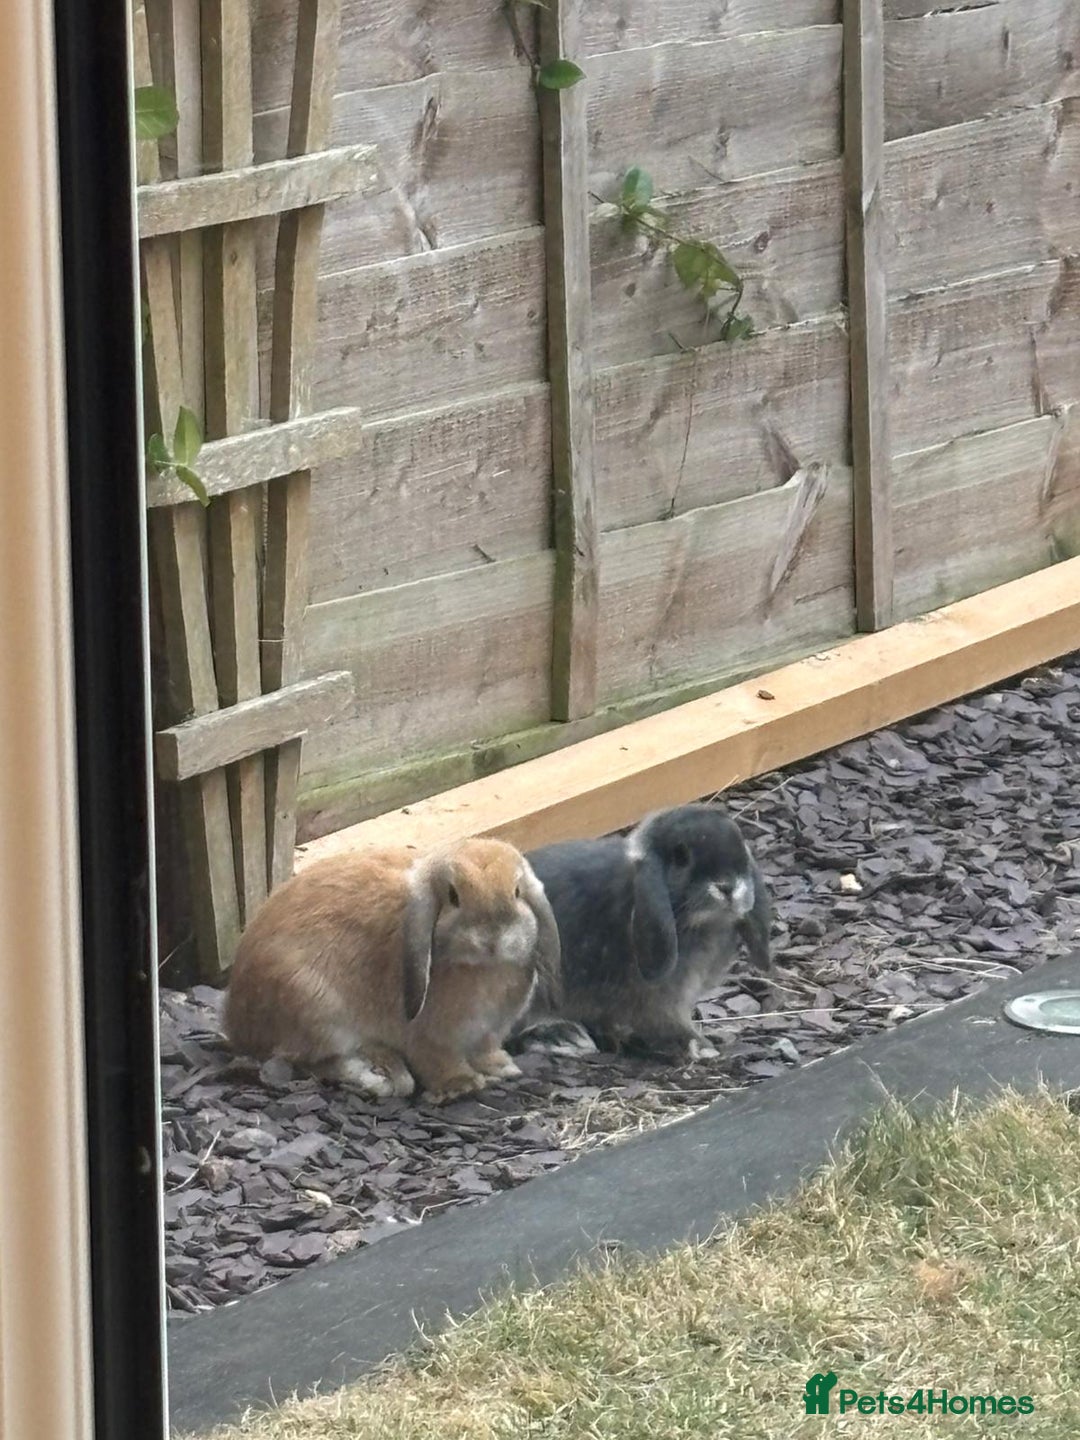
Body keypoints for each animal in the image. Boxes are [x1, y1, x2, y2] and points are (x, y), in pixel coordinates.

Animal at [224, 837, 561, 1103]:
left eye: (517, 892)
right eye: (453, 896)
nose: (492, 940)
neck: (484, 969)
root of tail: (236, 1023)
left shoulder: (488, 1032)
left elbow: (485, 1050)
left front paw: (503, 1068)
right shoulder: (429, 1037)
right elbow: (437, 1060)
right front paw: (460, 1085)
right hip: (316, 1010)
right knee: (314, 1061)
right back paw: (380, 1074)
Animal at [515, 804, 773, 1064]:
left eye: (740, 848)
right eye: (681, 857)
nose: (727, 887)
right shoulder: (658, 1000)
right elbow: (668, 1023)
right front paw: (701, 1046)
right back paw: (563, 1036)